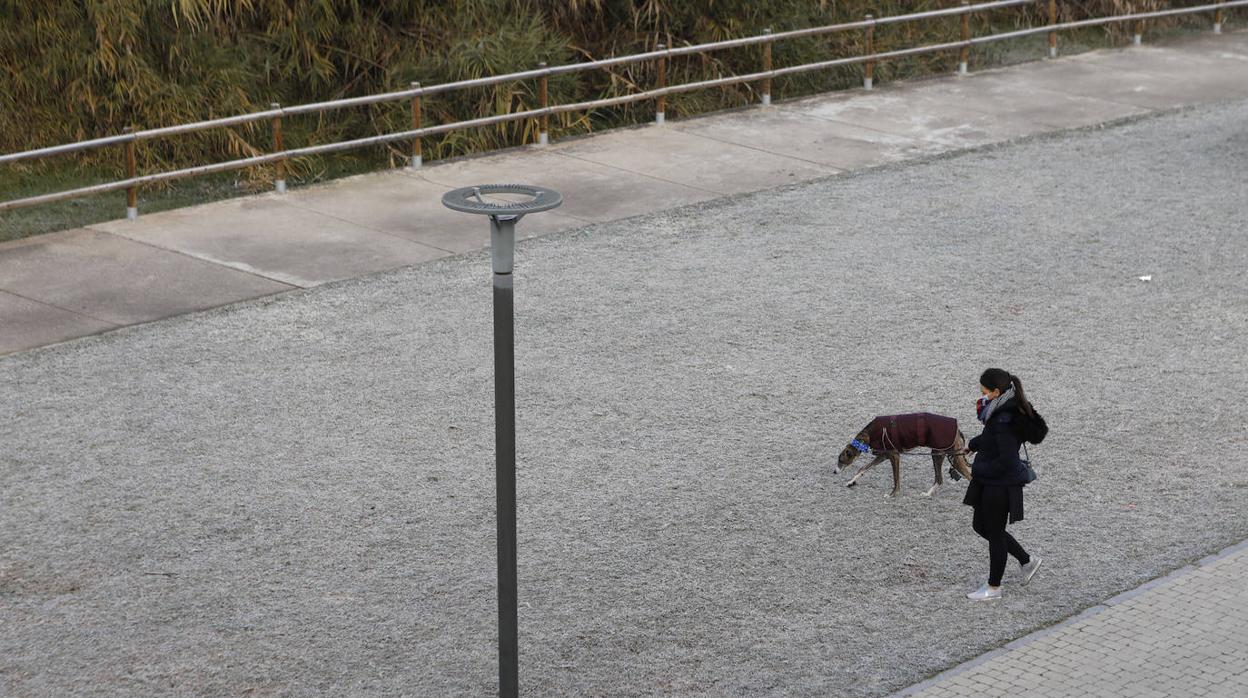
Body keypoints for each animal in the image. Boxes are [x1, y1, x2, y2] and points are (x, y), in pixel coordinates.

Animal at [838, 412, 973, 499]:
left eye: (840, 460)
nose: (835, 471)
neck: (869, 434)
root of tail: (958, 430)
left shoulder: (894, 456)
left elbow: (896, 478)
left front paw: (892, 494)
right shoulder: (883, 455)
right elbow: (863, 468)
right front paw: (851, 481)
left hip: (950, 457)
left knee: (969, 476)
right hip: (938, 454)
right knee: (939, 479)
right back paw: (928, 494)